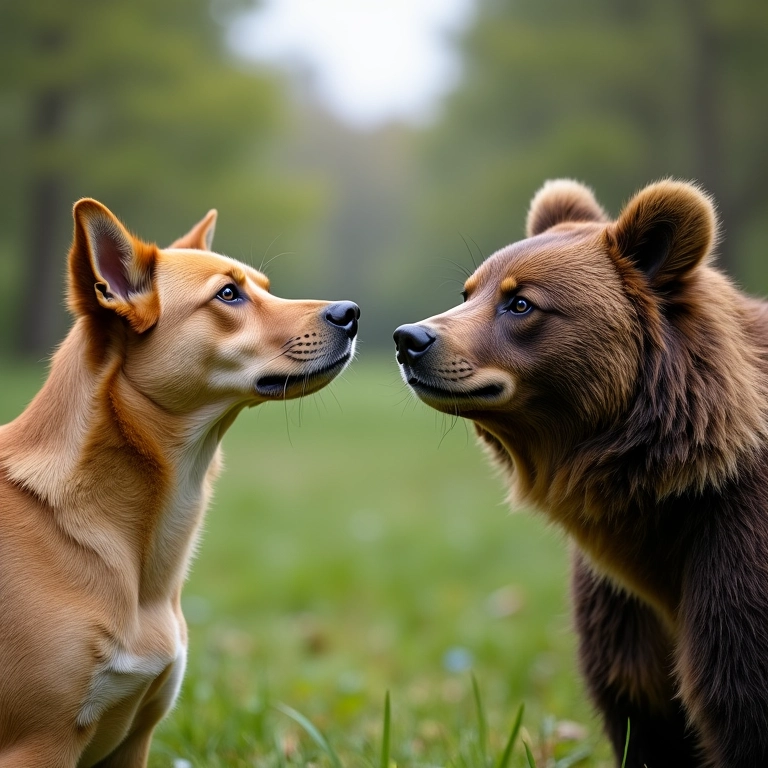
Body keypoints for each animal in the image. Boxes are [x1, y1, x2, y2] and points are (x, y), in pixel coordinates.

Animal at [393, 179, 768, 768]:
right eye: (468, 291)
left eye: (520, 302)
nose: (410, 338)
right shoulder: (620, 603)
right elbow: (640, 709)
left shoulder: (732, 550)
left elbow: (739, 698)